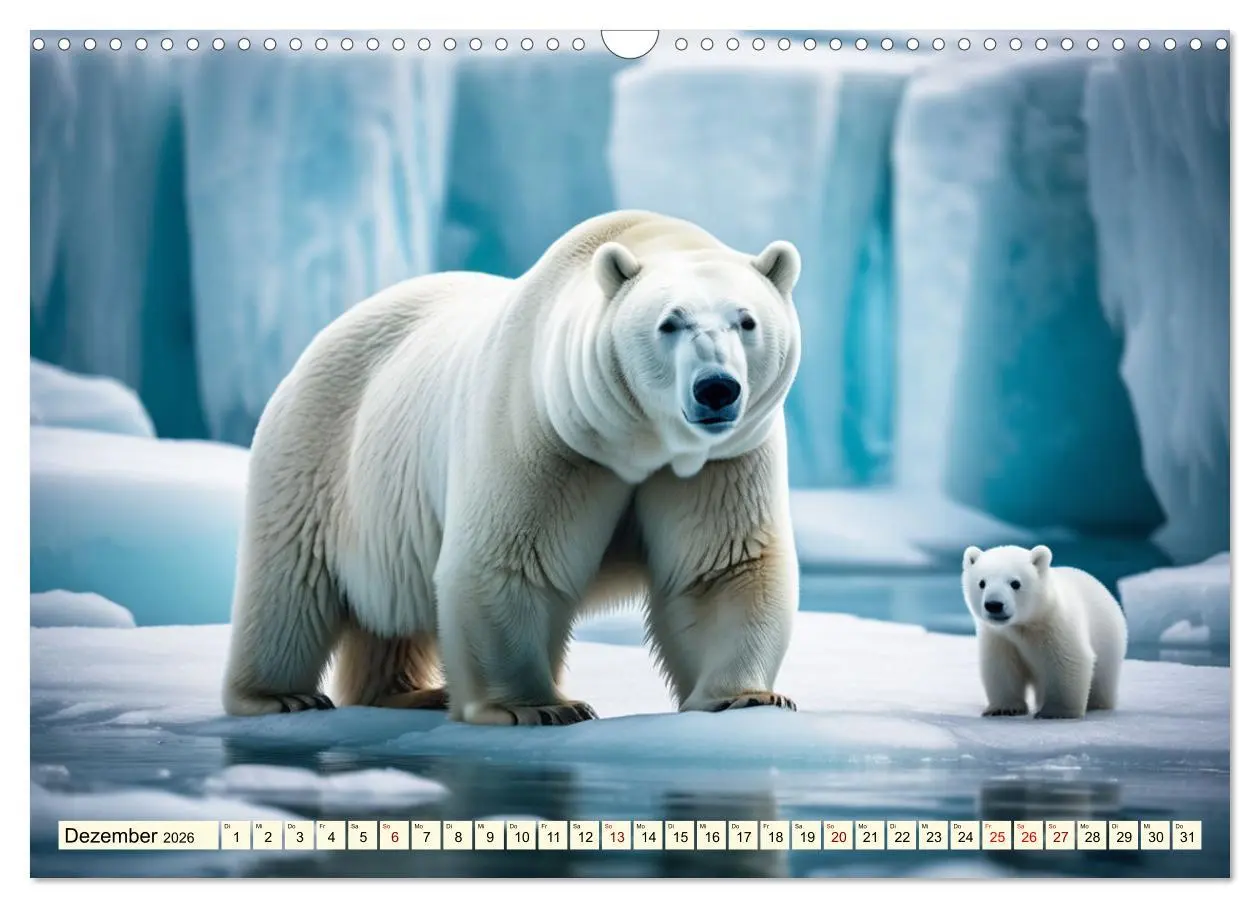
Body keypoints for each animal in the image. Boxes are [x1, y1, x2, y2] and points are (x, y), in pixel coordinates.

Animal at [221, 210, 804, 726]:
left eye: (746, 321)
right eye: (669, 323)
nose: (716, 388)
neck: (636, 439)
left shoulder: (719, 461)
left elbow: (721, 567)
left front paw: (745, 697)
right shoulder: (544, 431)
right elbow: (508, 560)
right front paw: (538, 707)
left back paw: (410, 693)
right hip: (318, 453)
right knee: (290, 582)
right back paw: (281, 696)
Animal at [961, 544, 1127, 719]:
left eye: (1015, 583)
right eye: (981, 583)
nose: (994, 605)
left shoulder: (1057, 627)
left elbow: (1068, 662)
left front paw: (1056, 712)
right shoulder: (1000, 637)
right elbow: (1002, 667)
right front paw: (1003, 709)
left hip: (1109, 642)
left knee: (1102, 682)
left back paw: (1097, 704)